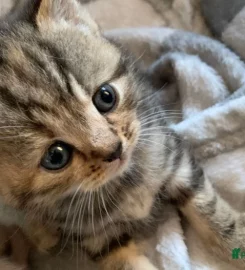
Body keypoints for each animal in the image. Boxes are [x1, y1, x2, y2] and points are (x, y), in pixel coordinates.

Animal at [0, 0, 244, 270]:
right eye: (56, 156)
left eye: (106, 96)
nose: (114, 149)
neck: (125, 182)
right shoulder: (96, 236)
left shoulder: (173, 158)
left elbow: (208, 208)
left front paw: (238, 243)